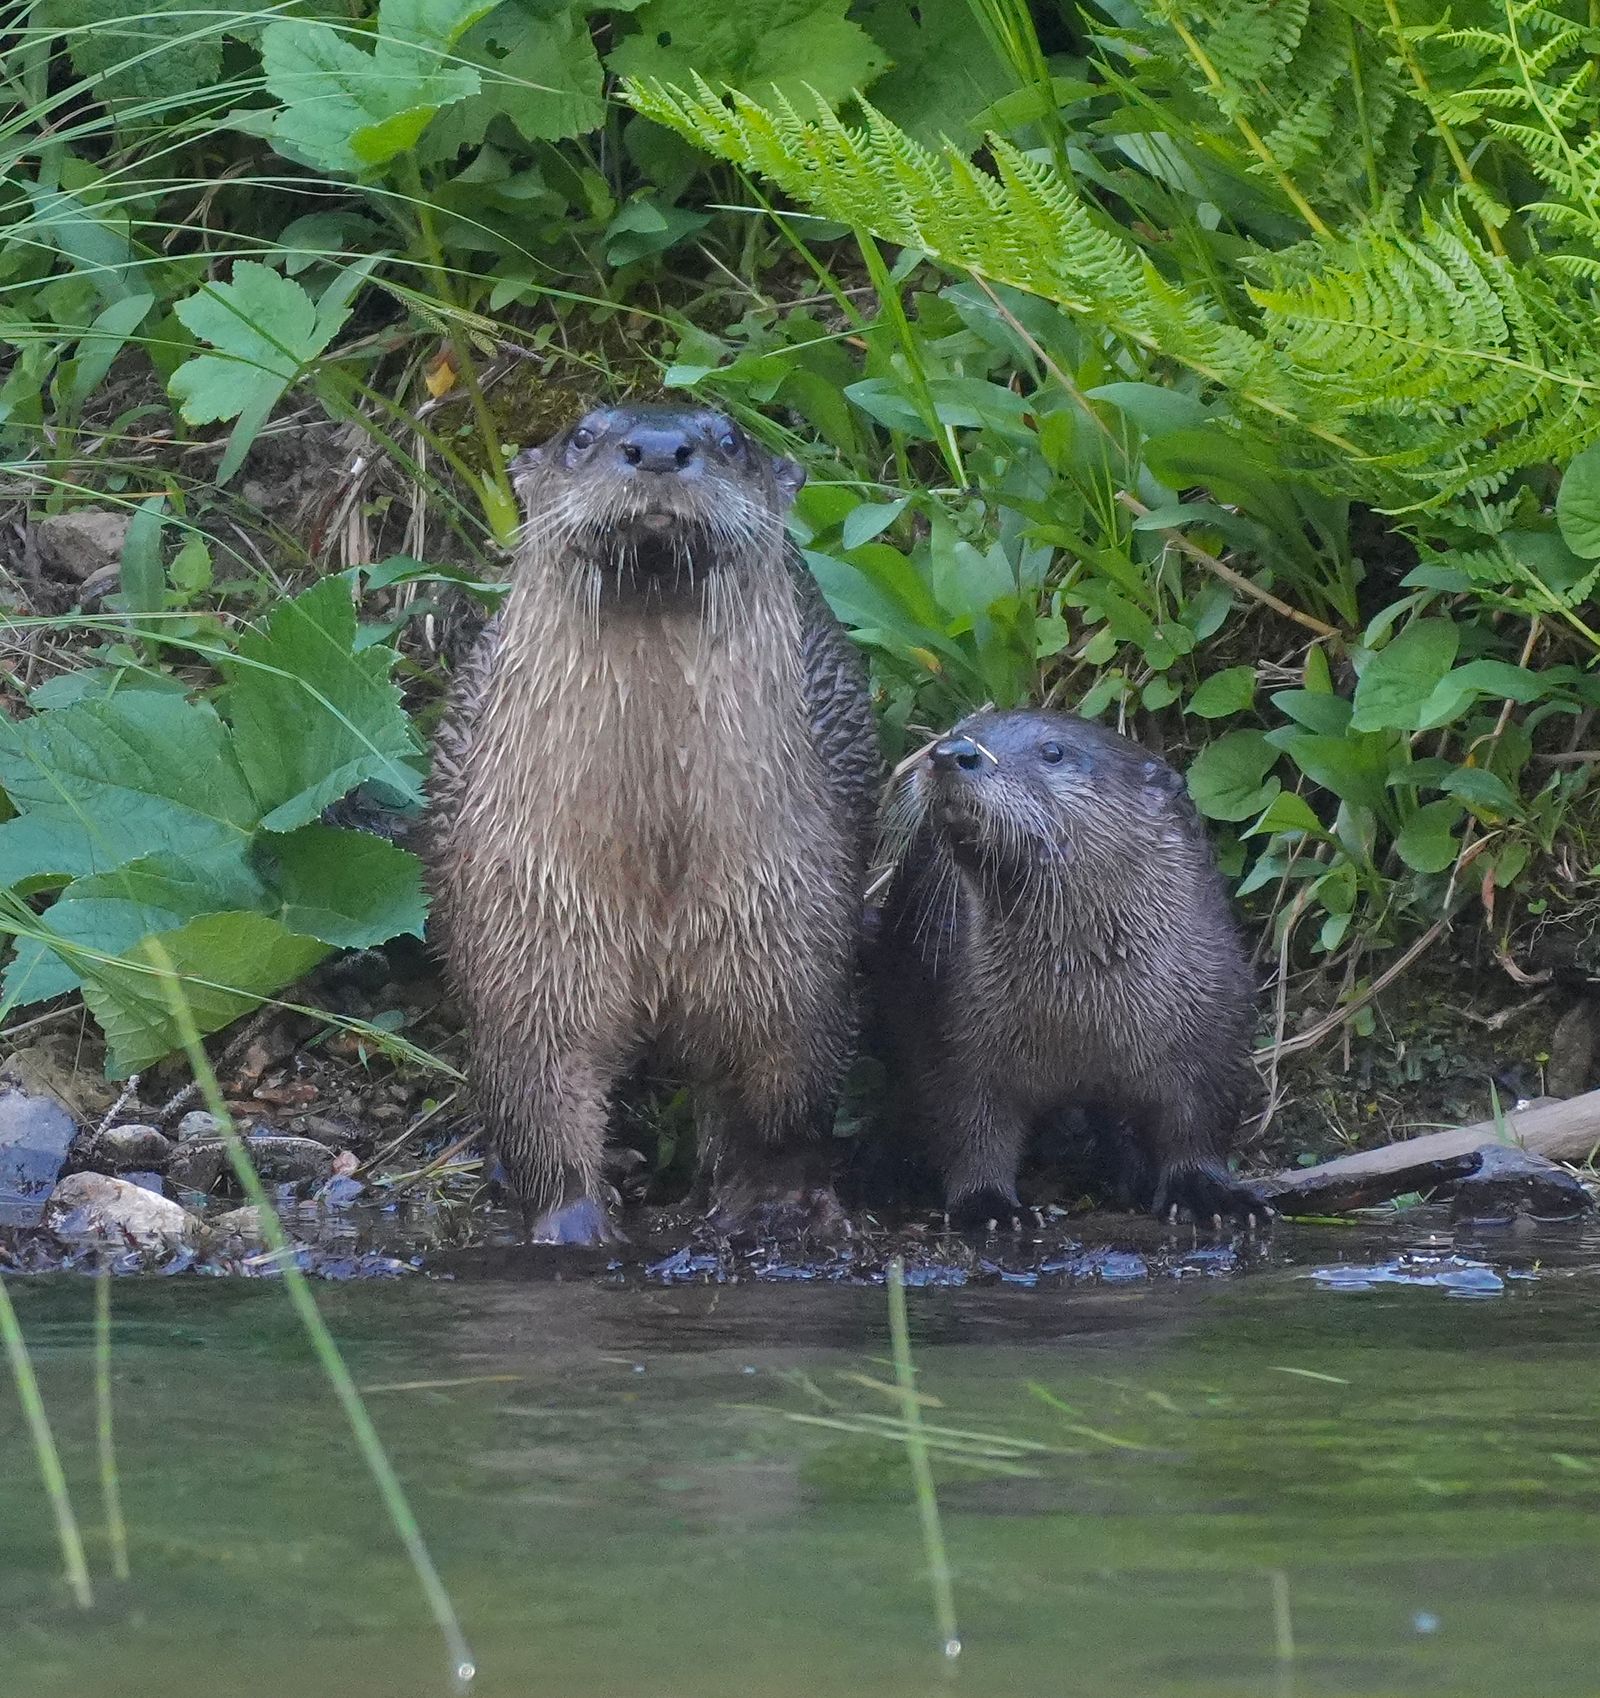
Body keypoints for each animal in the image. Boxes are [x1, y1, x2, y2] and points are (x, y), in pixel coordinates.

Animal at [424, 404, 879, 1243]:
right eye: (583, 435)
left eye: (730, 439)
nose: (663, 448)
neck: (656, 868)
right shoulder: (526, 920)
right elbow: (533, 1086)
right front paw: (573, 1222)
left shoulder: (784, 925)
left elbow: (785, 1087)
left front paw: (772, 1203)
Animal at [873, 708, 1264, 1226]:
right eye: (955, 732)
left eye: (1054, 752)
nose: (951, 753)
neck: (1079, 1012)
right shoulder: (949, 1033)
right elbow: (969, 1129)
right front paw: (987, 1206)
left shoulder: (1212, 1021)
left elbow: (1197, 1123)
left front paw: (1210, 1194)